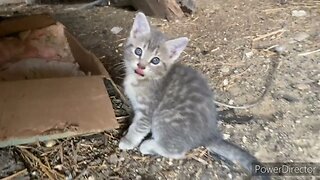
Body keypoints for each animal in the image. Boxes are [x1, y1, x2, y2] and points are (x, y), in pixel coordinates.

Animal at [119, 11, 268, 179]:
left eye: (155, 60)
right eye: (138, 51)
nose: (141, 66)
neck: (142, 80)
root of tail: (210, 133)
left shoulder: (147, 112)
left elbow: (138, 128)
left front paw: (127, 141)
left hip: (164, 118)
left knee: (177, 151)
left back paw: (148, 146)